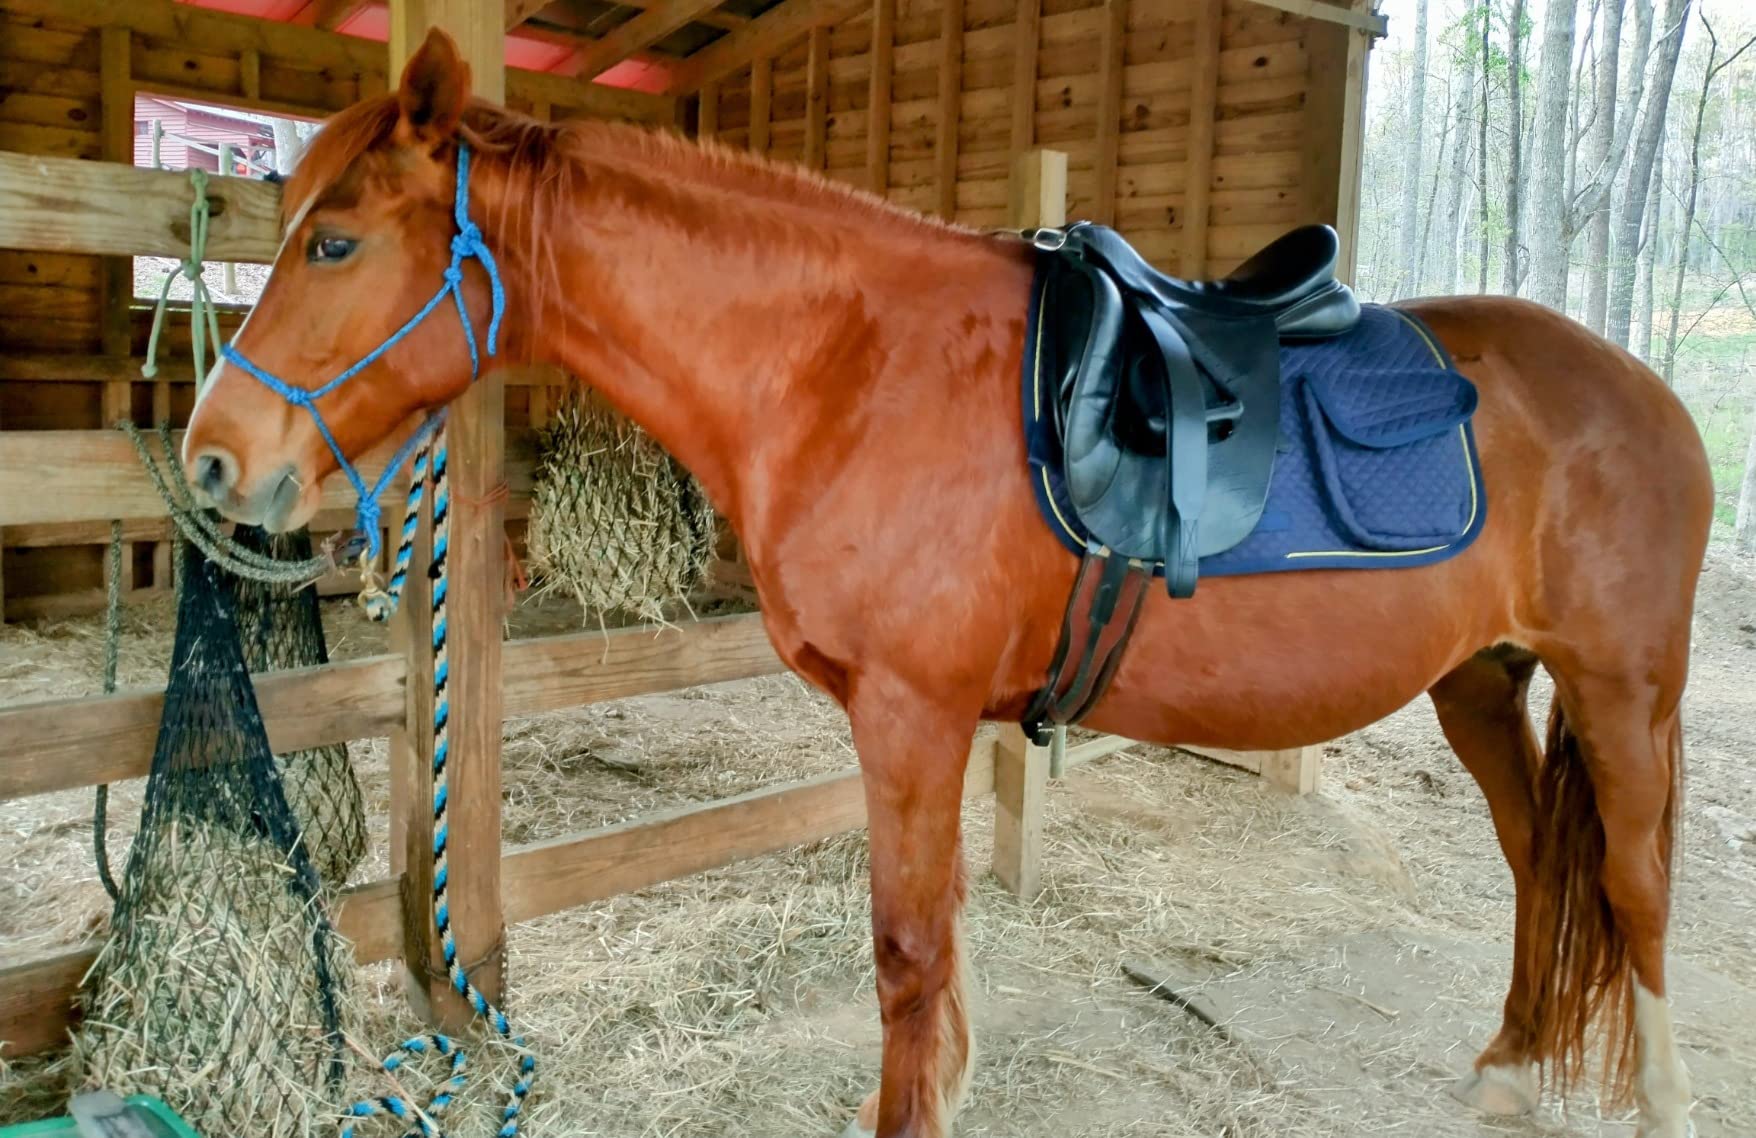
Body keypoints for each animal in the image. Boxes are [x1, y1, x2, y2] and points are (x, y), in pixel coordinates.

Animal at [182, 28, 1712, 1138]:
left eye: (334, 241)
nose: (212, 459)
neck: (849, 364)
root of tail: (1646, 394)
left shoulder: (911, 718)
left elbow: (909, 959)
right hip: (1483, 683)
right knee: (1538, 864)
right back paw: (1509, 1061)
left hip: (1620, 692)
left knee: (1632, 889)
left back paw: (1658, 1097)